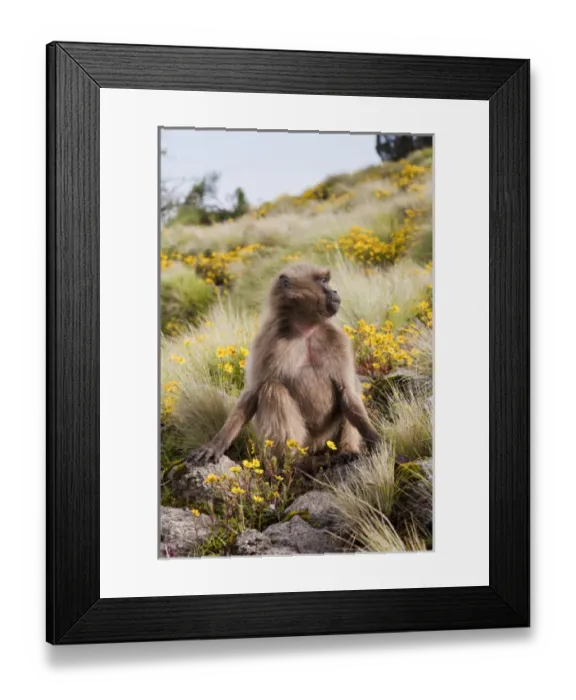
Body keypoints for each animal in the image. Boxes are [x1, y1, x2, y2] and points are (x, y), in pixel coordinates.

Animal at [187, 263, 380, 467]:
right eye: (323, 281)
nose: (334, 291)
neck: (306, 329)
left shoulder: (338, 340)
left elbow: (347, 392)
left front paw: (375, 439)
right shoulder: (267, 340)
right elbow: (252, 393)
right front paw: (216, 444)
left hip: (325, 437)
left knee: (350, 391)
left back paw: (347, 452)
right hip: (305, 442)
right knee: (272, 389)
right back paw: (297, 462)